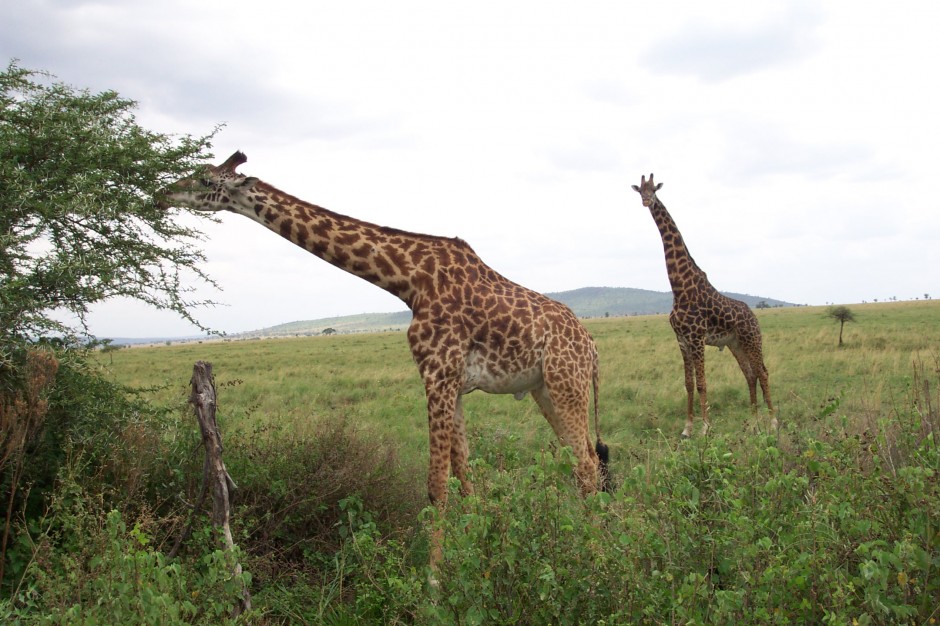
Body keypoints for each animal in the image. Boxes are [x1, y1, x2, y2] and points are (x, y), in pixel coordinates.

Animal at [163, 151, 608, 564]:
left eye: (205, 179)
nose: (163, 193)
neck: (408, 281)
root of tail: (592, 347)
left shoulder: (436, 373)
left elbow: (436, 486)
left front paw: (433, 582)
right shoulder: (453, 383)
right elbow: (464, 476)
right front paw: (477, 554)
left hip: (566, 383)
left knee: (587, 465)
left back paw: (593, 558)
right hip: (544, 389)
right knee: (584, 460)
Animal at [632, 171, 780, 434]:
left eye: (654, 190)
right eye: (640, 190)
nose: (647, 201)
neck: (679, 286)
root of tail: (754, 315)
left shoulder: (697, 338)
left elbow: (702, 383)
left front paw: (705, 428)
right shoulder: (682, 340)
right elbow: (689, 384)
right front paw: (687, 428)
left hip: (752, 339)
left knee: (762, 372)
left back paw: (772, 421)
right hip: (735, 344)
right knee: (750, 374)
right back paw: (753, 422)